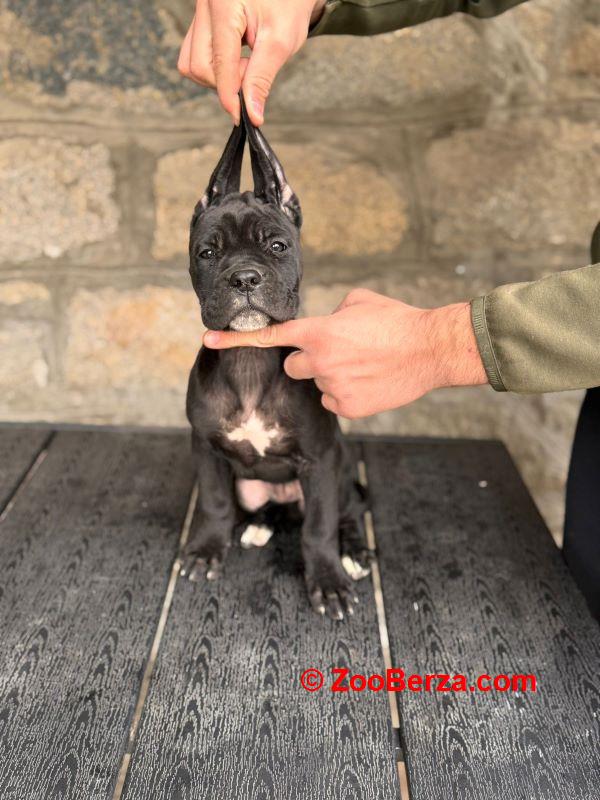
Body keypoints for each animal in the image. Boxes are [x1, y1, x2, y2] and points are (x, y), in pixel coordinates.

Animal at [180, 100, 370, 620]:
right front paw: (207, 549)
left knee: (345, 510)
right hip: (251, 486)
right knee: (266, 507)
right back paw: (259, 525)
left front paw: (327, 580)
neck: (250, 356)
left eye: (277, 246)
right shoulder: (206, 451)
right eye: (208, 252)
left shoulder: (320, 461)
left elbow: (318, 527)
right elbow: (214, 503)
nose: (244, 278)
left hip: (341, 468)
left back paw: (353, 551)